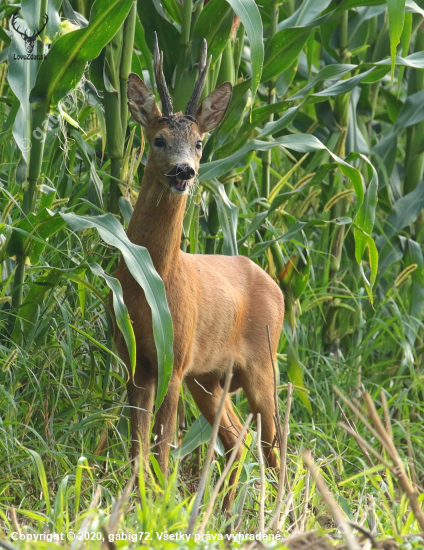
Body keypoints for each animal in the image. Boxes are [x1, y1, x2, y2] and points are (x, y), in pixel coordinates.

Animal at [112, 34, 284, 512]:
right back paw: (222, 515)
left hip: (263, 363)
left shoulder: (176, 354)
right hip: (210, 378)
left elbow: (162, 444)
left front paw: (158, 504)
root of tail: (277, 286)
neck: (152, 281)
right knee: (236, 440)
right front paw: (136, 503)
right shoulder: (134, 358)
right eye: (158, 139)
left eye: (200, 143)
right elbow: (137, 445)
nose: (184, 171)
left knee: (274, 444)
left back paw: (280, 515)